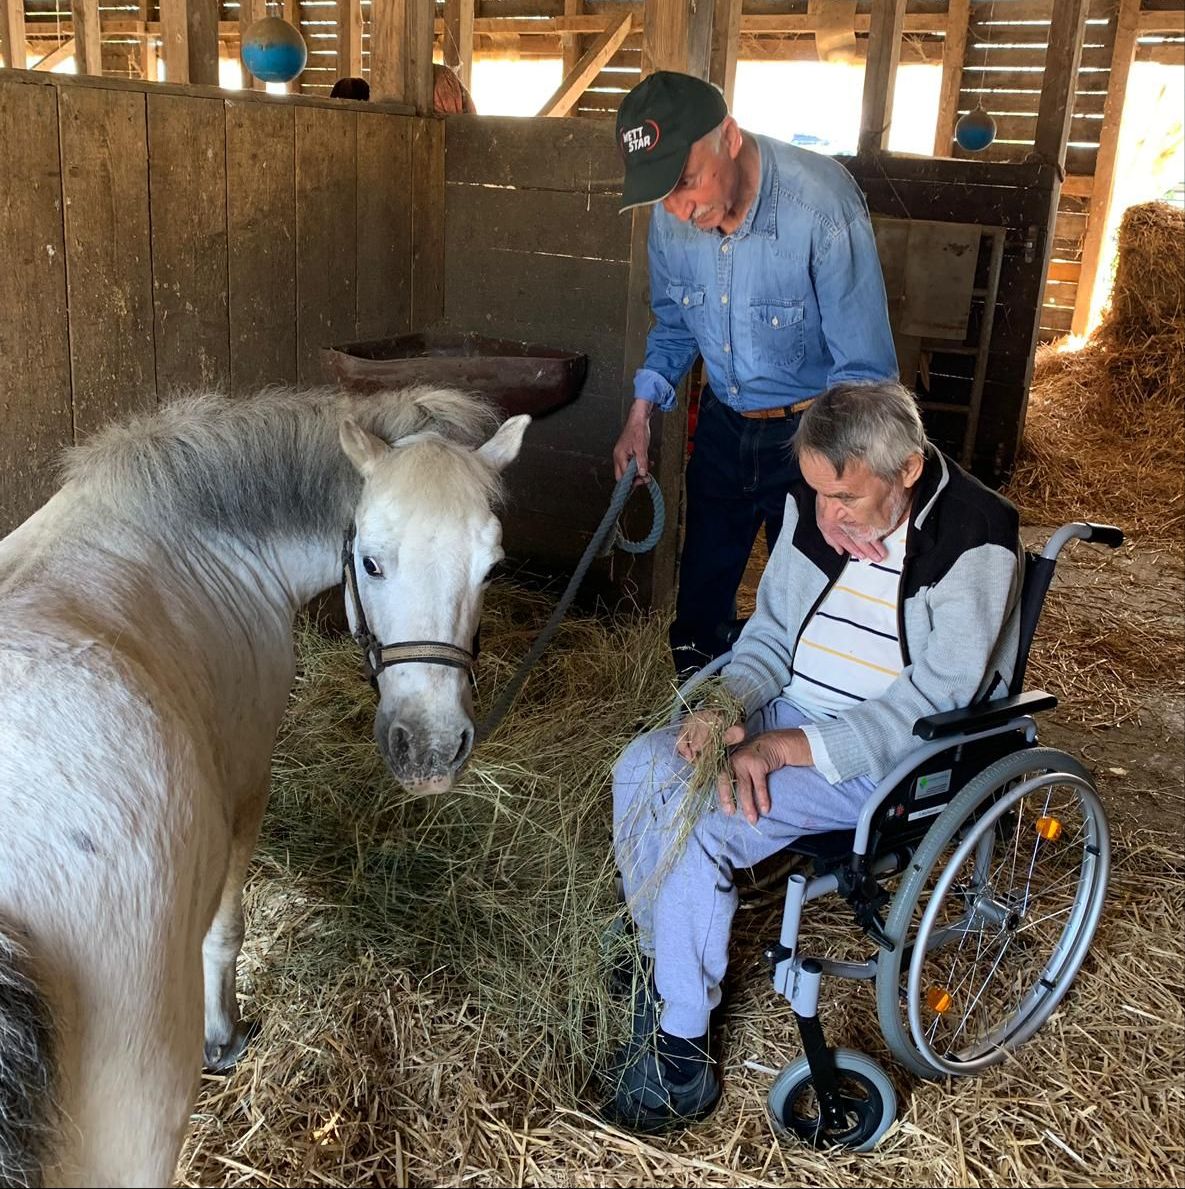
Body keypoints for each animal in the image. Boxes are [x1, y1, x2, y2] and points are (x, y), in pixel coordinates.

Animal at [0, 385, 527, 1184]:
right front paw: (224, 1037)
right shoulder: (245, 785)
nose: (431, 749)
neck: (203, 532)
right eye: (370, 562)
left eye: (490, 568)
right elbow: (225, 932)